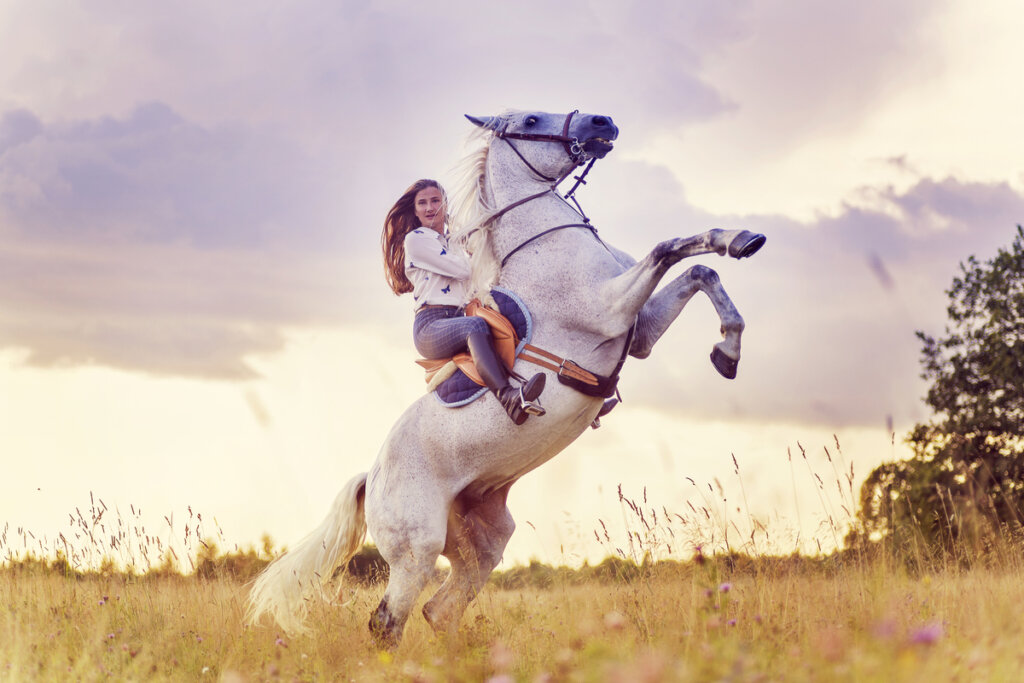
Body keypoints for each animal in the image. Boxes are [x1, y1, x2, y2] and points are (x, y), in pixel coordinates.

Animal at [247, 109, 765, 648]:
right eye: (531, 119)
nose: (603, 122)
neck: (551, 243)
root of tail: (372, 476)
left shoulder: (637, 332)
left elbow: (701, 271)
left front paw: (729, 337)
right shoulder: (610, 308)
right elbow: (670, 248)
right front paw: (734, 256)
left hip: (483, 543)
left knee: (439, 610)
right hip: (416, 549)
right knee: (388, 620)